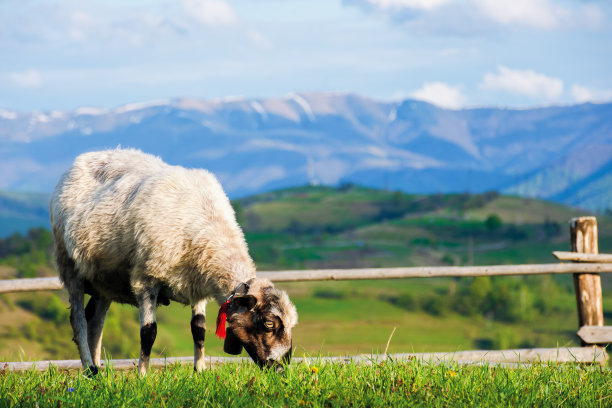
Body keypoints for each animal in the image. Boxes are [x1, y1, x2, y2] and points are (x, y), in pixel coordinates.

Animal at [49, 148, 298, 374]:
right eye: (269, 324)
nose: (281, 370)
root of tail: (83, 158)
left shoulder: (196, 281)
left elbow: (199, 330)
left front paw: (200, 371)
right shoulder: (146, 278)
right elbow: (148, 333)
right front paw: (142, 376)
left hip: (104, 279)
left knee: (96, 320)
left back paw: (97, 371)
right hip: (69, 265)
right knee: (79, 320)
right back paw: (89, 368)